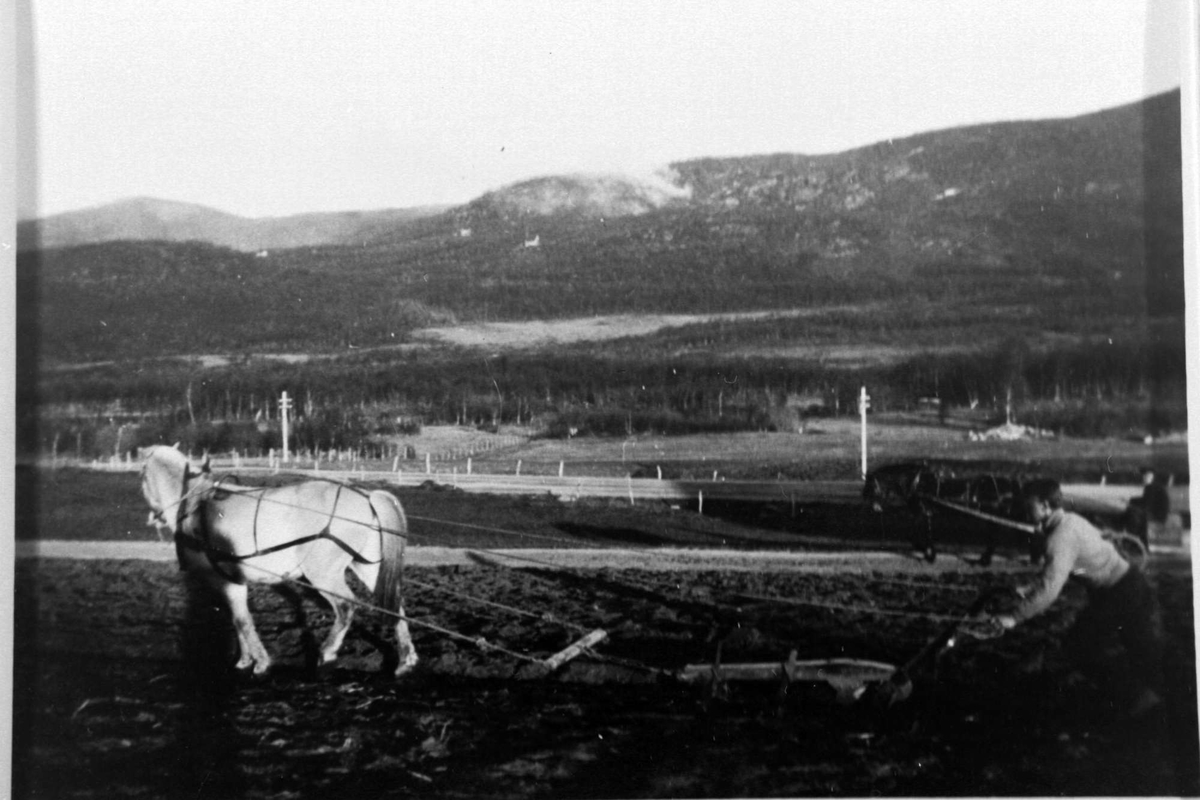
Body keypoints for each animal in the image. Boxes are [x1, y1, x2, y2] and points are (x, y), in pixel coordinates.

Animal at [141, 443, 417, 676]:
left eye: (142, 476)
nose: (154, 517)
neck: (193, 504)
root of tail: (366, 496)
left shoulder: (224, 580)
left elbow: (242, 621)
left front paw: (260, 663)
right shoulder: (234, 581)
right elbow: (238, 620)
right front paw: (244, 660)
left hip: (323, 573)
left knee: (346, 606)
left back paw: (327, 652)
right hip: (367, 566)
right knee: (394, 602)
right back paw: (406, 659)